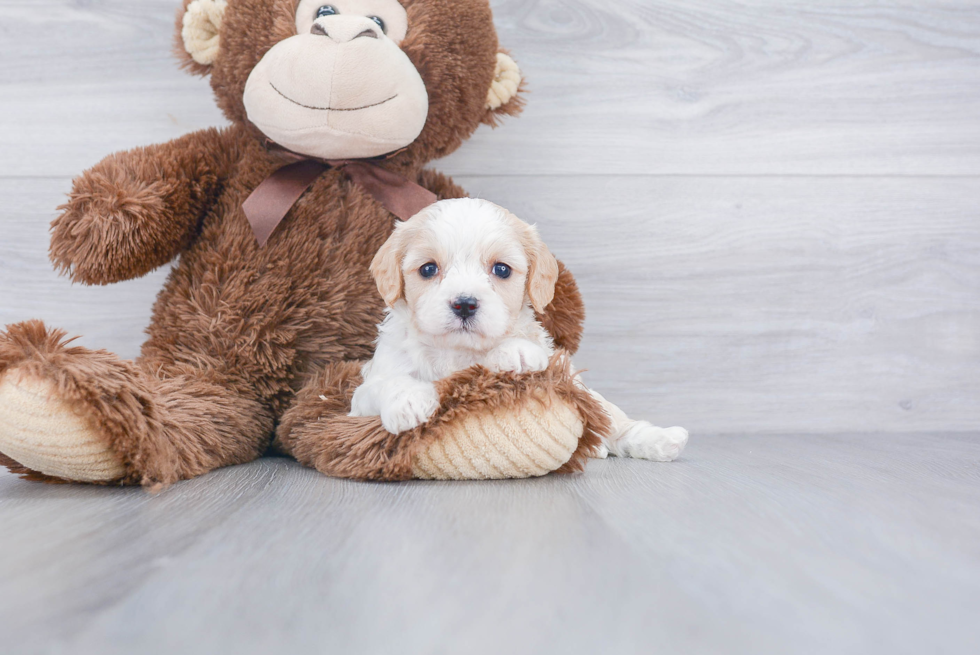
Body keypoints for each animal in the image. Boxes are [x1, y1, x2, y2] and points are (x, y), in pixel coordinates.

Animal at [352, 199, 688, 462]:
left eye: (501, 269)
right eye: (428, 269)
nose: (465, 304)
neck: (455, 351)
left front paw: (515, 351)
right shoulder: (363, 397)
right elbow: (388, 384)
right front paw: (408, 401)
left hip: (586, 391)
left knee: (615, 422)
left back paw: (661, 440)